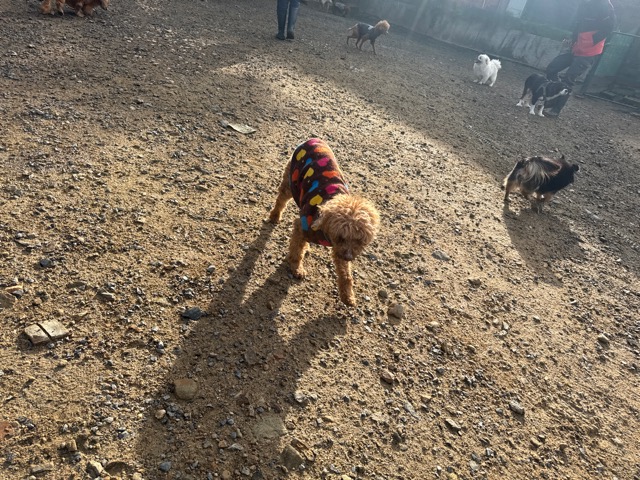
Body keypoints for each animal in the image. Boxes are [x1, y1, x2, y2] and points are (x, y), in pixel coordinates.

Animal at [269, 138, 380, 306]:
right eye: (341, 237)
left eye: (360, 241)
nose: (349, 257)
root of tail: (313, 139)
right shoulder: (301, 227)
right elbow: (295, 252)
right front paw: (296, 268)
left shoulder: (339, 250)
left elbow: (346, 274)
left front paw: (347, 296)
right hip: (291, 181)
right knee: (281, 199)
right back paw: (275, 216)